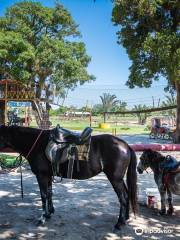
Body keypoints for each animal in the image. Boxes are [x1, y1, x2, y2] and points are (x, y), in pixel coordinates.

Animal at [0, 124, 138, 230]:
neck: (37, 144)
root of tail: (125, 145)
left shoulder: (41, 176)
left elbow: (43, 195)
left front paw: (42, 218)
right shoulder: (48, 176)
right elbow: (49, 193)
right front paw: (49, 213)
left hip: (115, 179)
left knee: (123, 197)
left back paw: (119, 223)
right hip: (119, 179)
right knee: (127, 194)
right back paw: (125, 218)